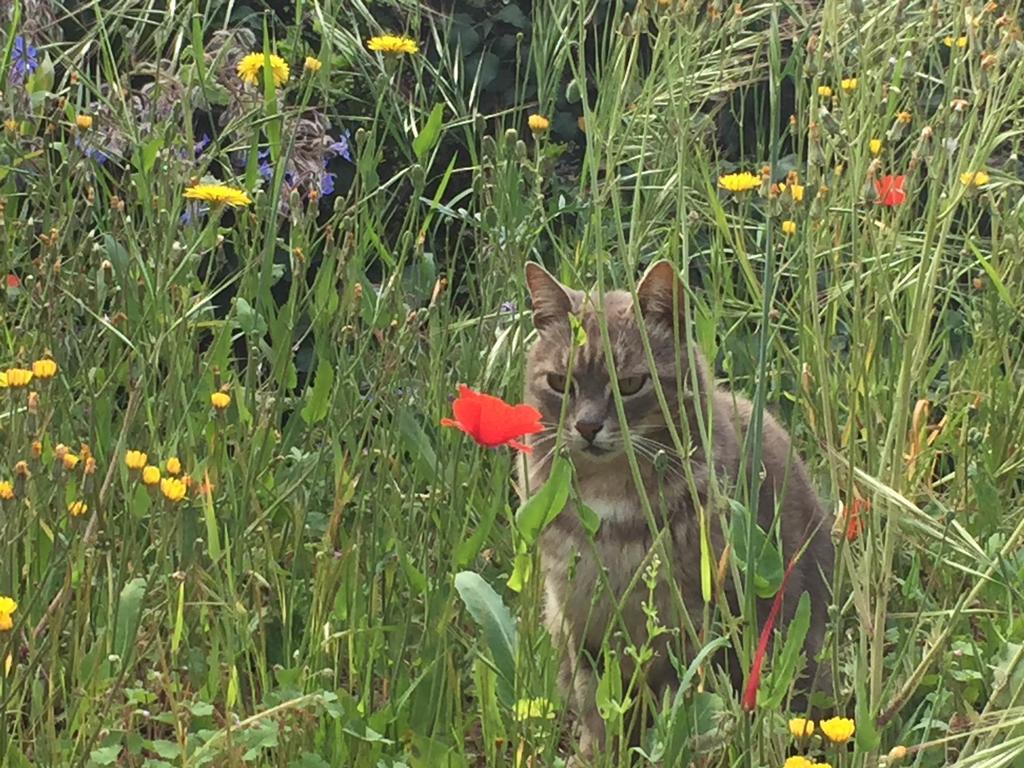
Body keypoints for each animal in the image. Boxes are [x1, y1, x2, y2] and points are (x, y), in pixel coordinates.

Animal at [520, 260, 831, 765]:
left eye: (629, 384)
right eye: (559, 383)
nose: (587, 426)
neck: (611, 496)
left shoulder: (691, 626)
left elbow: (679, 708)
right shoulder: (578, 620)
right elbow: (595, 705)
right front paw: (596, 753)